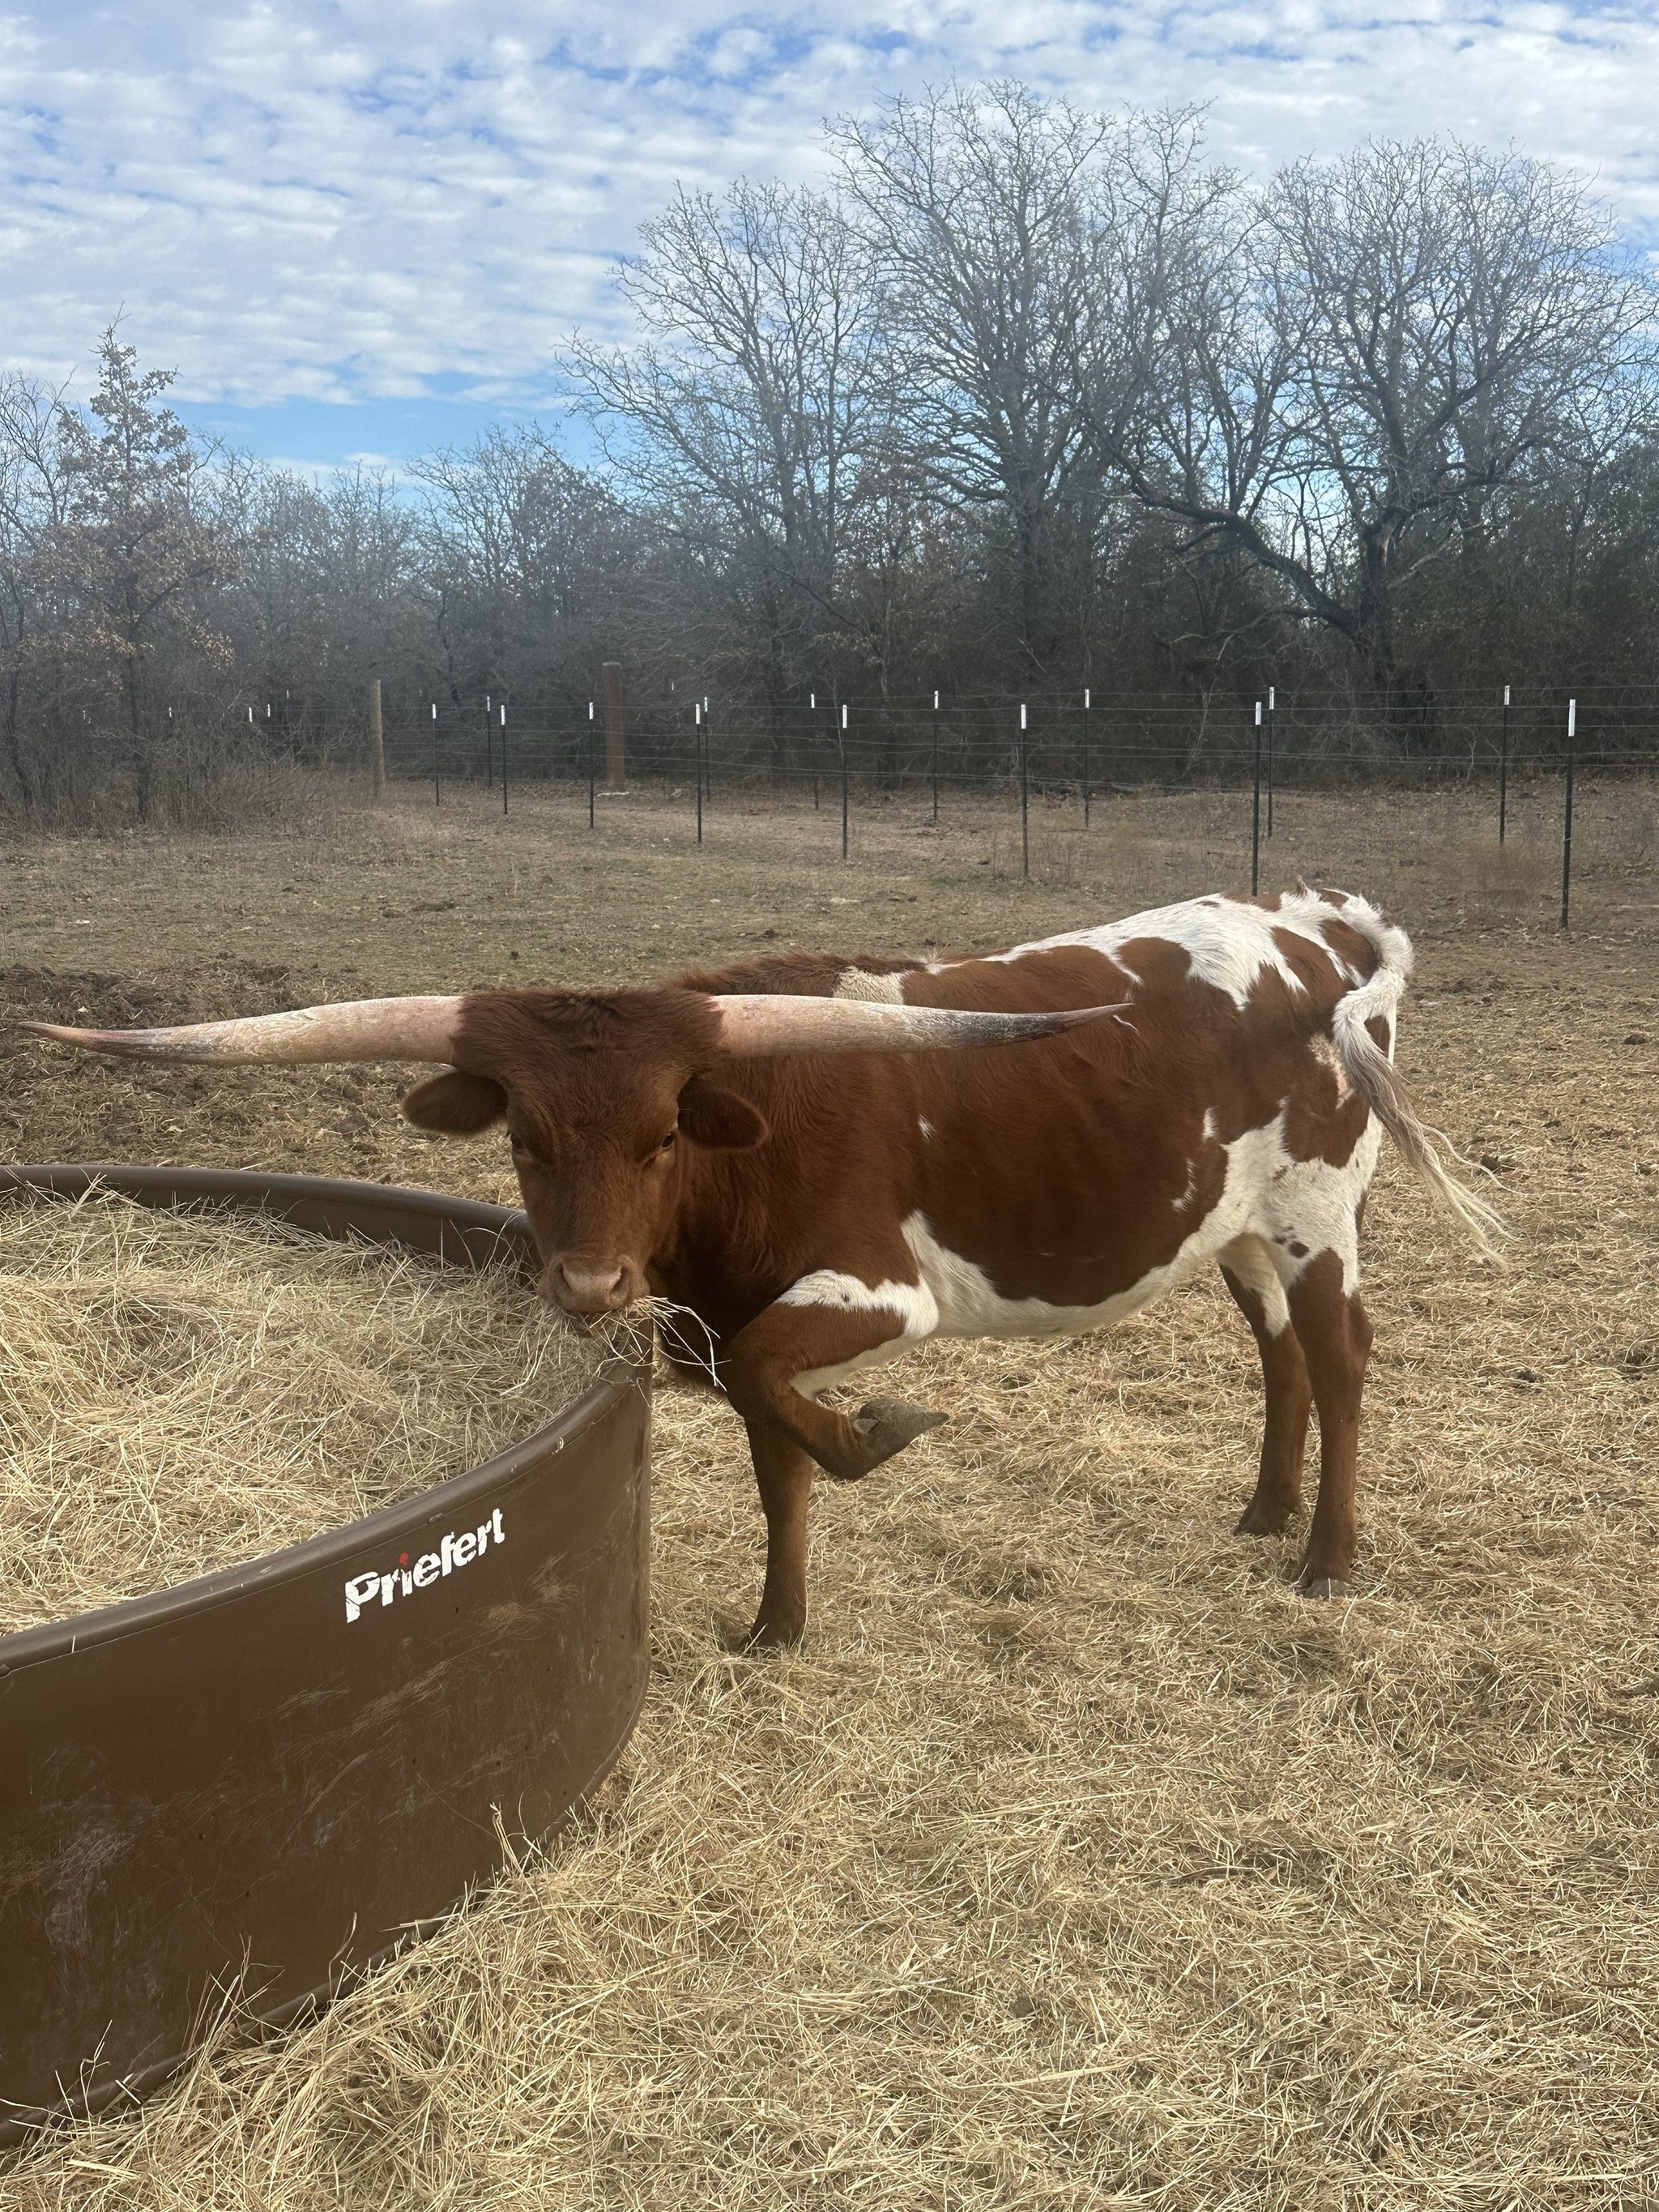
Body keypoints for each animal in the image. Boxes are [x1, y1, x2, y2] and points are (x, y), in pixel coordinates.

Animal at [26, 886, 1499, 1646]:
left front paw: (878, 1437)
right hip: (1238, 1225)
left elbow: (770, 1391)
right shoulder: (723, 1309)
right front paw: (777, 1622)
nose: (587, 1290)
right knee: (1277, 1355)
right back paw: (1262, 1512)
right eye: (522, 1136)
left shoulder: (871, 1293)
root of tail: (1317, 921)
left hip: (1318, 1212)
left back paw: (1325, 1555)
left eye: (664, 1129)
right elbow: (769, 1444)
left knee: (1339, 1358)